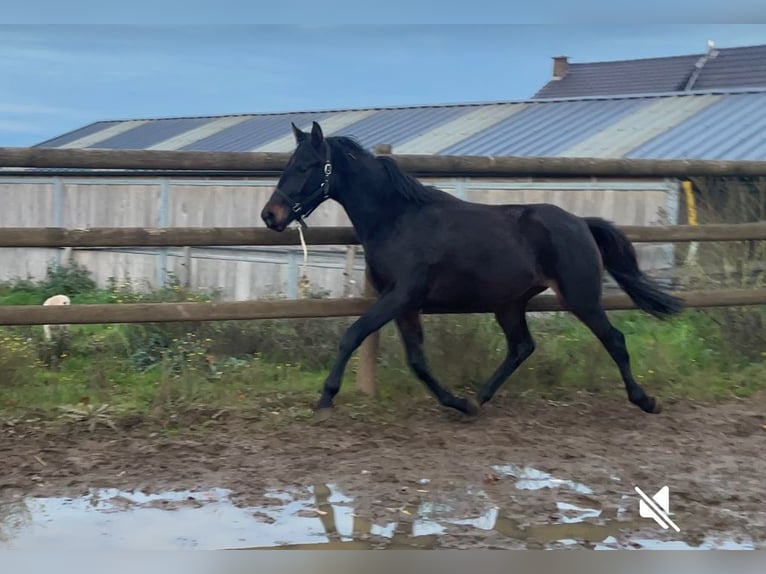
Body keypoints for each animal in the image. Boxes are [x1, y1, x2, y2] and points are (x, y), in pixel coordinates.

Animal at [261, 121, 684, 420]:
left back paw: (646, 401)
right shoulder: (406, 305)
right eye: (288, 165)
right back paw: (480, 398)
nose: (270, 215)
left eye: (306, 166)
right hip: (510, 304)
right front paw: (458, 403)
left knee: (614, 340)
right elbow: (418, 362)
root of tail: (580, 222)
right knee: (522, 347)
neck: (398, 219)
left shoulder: (400, 296)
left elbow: (353, 335)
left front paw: (326, 397)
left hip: (581, 297)